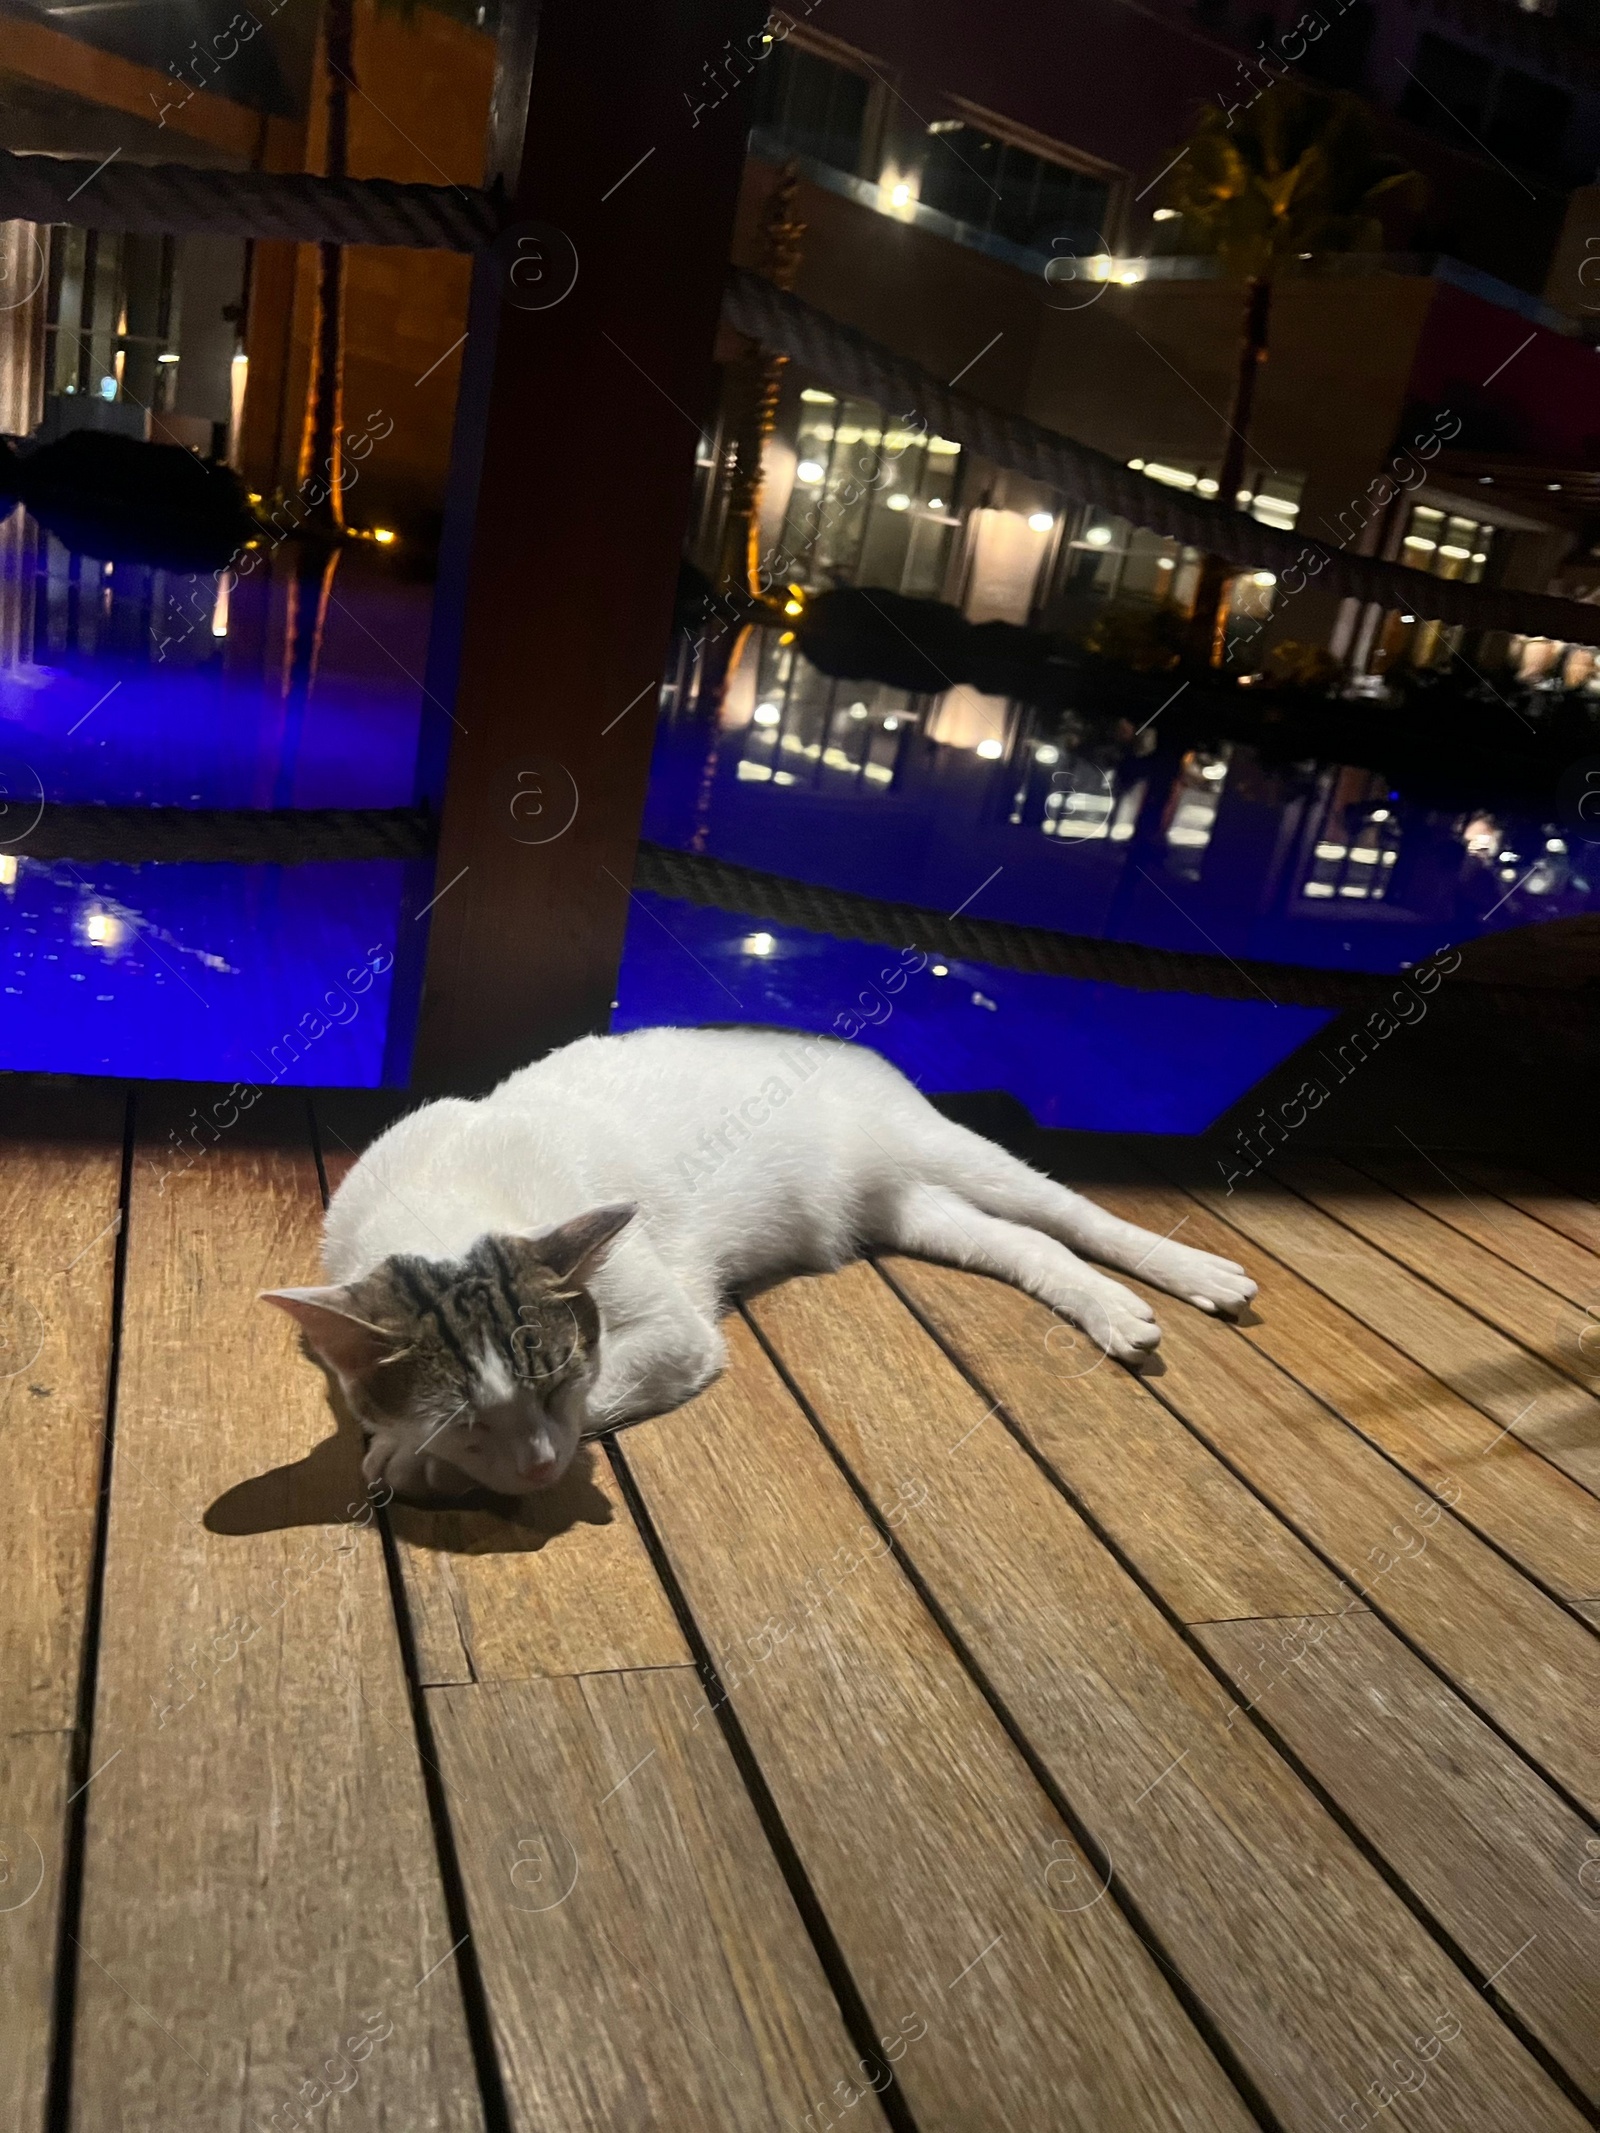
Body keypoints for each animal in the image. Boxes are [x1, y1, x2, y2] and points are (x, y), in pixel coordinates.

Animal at [263, 1028, 1262, 1501]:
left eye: (555, 1384)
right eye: (467, 1416)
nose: (541, 1472)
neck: (444, 1194)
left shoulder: (676, 1334)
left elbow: (599, 1397)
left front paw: (414, 1460)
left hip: (948, 1148)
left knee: (1072, 1212)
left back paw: (1194, 1275)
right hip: (918, 1211)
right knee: (1029, 1244)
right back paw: (1114, 1311)